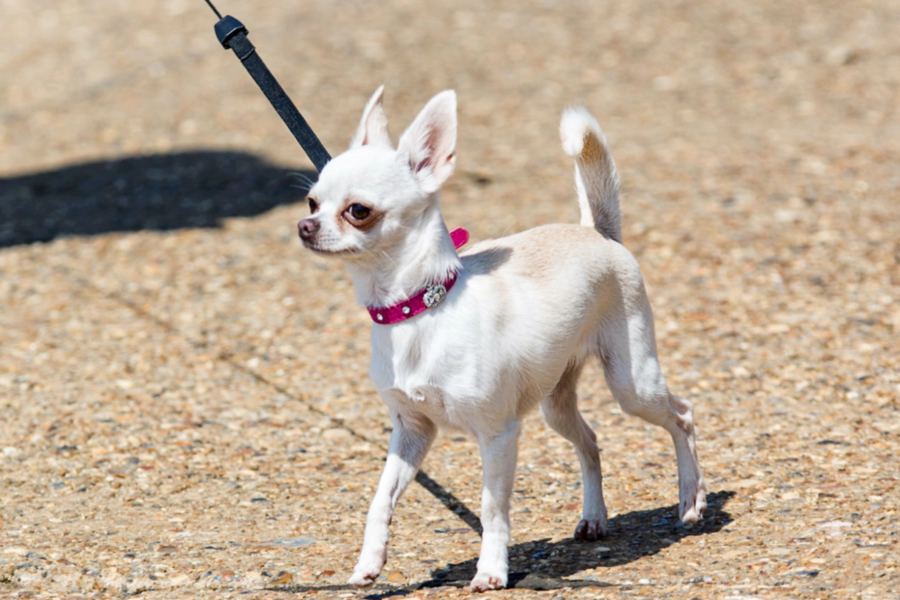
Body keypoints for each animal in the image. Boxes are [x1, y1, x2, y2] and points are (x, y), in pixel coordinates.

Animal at [298, 88, 708, 592]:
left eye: (358, 211)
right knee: (590, 442)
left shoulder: (497, 434)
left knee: (682, 415)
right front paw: (369, 563)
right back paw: (595, 518)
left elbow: (493, 509)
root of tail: (597, 231)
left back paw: (691, 499)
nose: (304, 226)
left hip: (633, 384)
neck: (419, 309)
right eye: (312, 202)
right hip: (555, 405)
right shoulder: (411, 431)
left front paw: (491, 570)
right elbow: (380, 499)